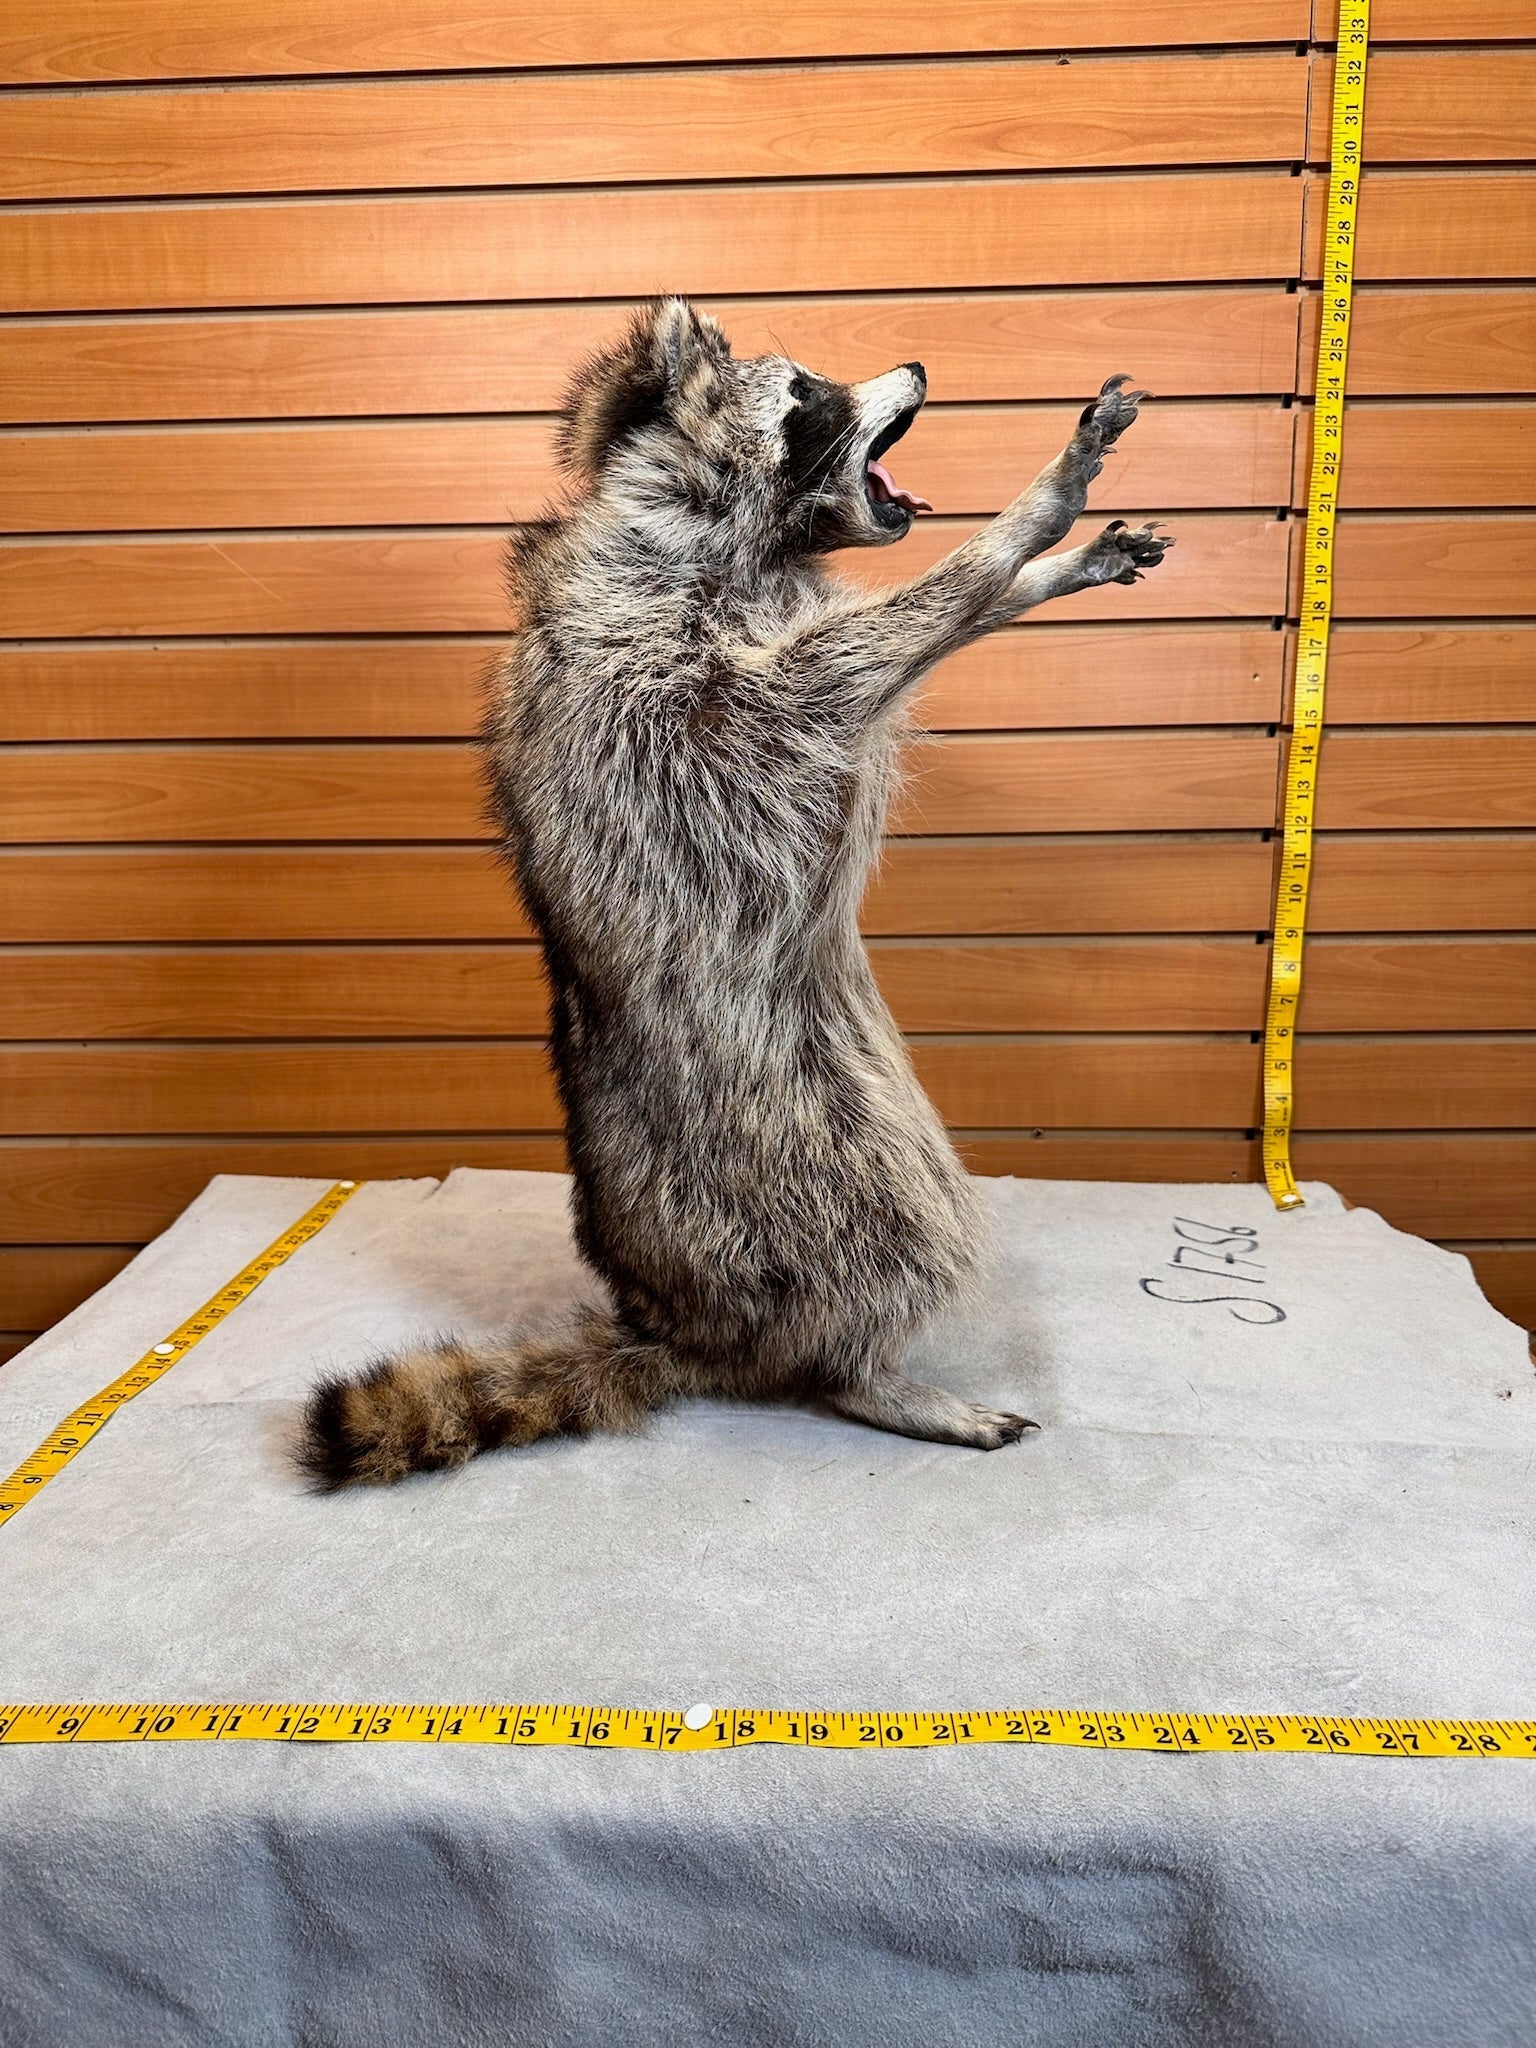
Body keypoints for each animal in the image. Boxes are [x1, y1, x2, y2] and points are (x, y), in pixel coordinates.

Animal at [299, 298, 1172, 1487]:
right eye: (806, 392)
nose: (919, 362)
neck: (740, 540)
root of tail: (684, 1326)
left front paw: (1047, 569)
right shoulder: (670, 681)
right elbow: (868, 646)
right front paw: (1025, 520)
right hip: (806, 1164)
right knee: (898, 1234)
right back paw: (866, 1369)